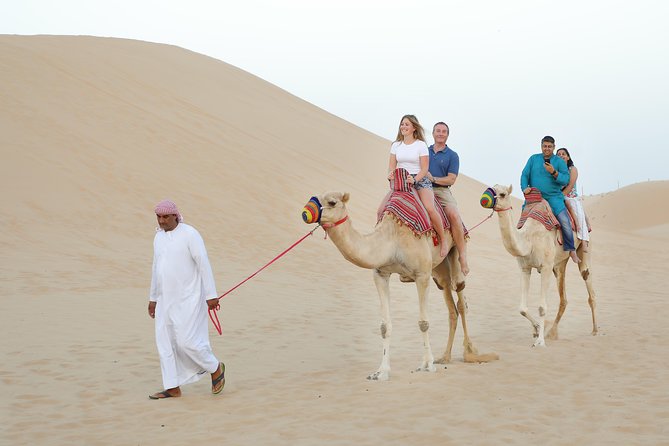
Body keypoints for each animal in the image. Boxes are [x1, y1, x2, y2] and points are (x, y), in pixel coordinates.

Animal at [302, 190, 496, 382]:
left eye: (332, 202)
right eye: (315, 196)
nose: (305, 212)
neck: (392, 239)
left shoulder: (421, 274)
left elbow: (423, 322)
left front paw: (427, 365)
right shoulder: (381, 273)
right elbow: (384, 326)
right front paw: (381, 372)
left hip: (454, 252)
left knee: (461, 298)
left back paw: (469, 353)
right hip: (439, 270)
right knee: (450, 303)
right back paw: (445, 357)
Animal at [490, 183, 596, 346]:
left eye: (502, 194)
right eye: (492, 188)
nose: (486, 198)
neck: (528, 239)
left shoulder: (545, 267)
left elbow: (541, 307)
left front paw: (540, 341)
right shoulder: (525, 268)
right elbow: (522, 308)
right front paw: (537, 329)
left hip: (584, 247)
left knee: (588, 282)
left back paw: (595, 330)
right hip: (558, 264)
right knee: (563, 299)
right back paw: (552, 332)